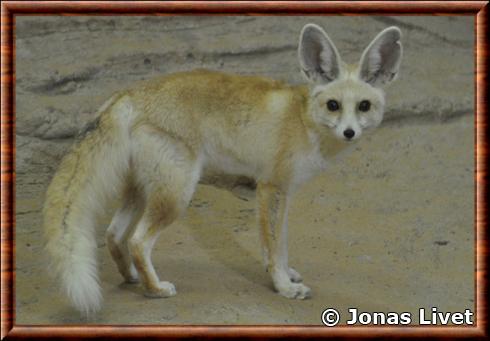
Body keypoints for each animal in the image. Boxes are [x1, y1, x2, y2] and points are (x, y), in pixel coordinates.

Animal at [43, 23, 402, 314]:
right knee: (137, 241)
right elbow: (272, 246)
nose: (350, 132)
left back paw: (133, 277)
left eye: (364, 107)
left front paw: (286, 275)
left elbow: (281, 244)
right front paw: (283, 287)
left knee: (114, 235)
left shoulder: (285, 193)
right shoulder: (269, 187)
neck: (303, 120)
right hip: (177, 194)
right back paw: (155, 289)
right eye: (333, 106)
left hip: (144, 190)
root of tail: (128, 93)